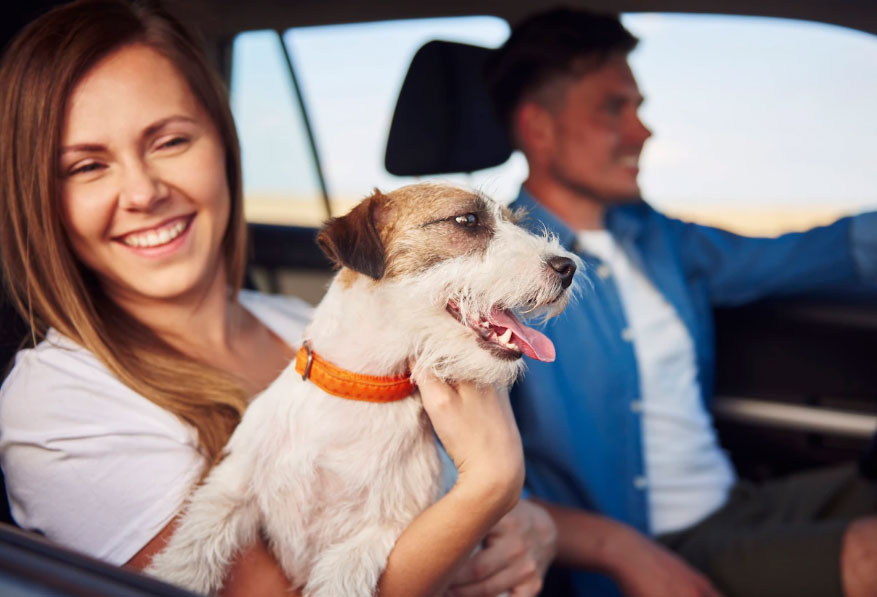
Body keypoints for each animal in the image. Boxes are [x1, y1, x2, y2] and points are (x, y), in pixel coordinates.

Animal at [147, 183, 580, 596]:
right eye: (468, 220)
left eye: (514, 220)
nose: (568, 266)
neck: (361, 391)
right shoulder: (233, 484)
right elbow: (198, 538)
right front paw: (174, 574)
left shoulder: (378, 534)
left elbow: (340, 576)